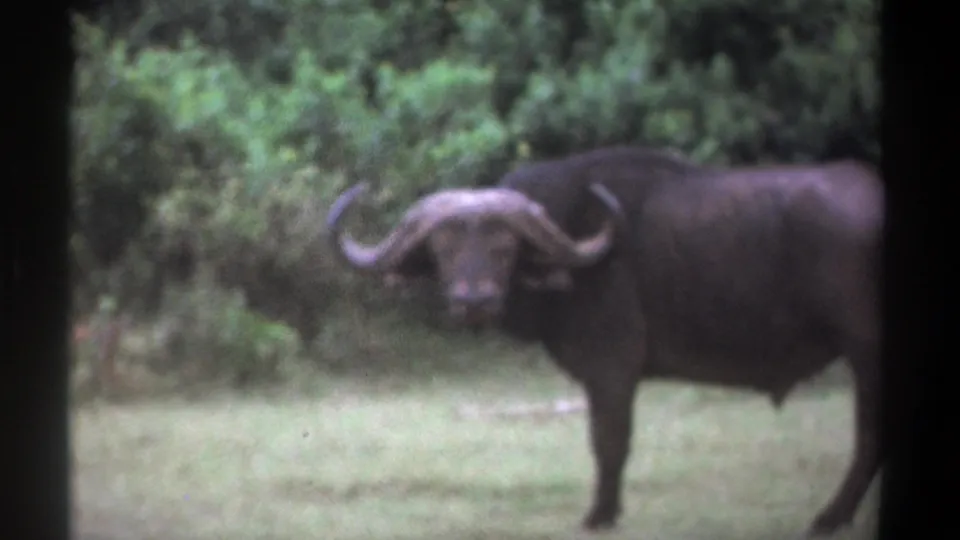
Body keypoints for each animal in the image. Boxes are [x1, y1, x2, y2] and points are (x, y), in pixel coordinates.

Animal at [326, 146, 883, 536]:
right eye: (442, 249)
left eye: (505, 248)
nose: (474, 300)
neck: (577, 255)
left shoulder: (611, 367)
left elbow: (609, 440)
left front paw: (600, 514)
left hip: (867, 352)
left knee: (869, 438)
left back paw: (829, 517)